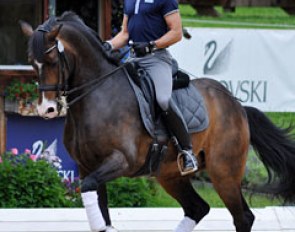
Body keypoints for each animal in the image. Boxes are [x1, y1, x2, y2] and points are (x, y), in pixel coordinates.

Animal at [20, 12, 295, 232]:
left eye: (53, 61)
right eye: (32, 63)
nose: (47, 109)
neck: (97, 95)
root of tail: (237, 105)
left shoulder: (121, 161)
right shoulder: (88, 168)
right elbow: (99, 208)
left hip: (224, 172)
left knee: (243, 217)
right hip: (170, 174)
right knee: (198, 208)